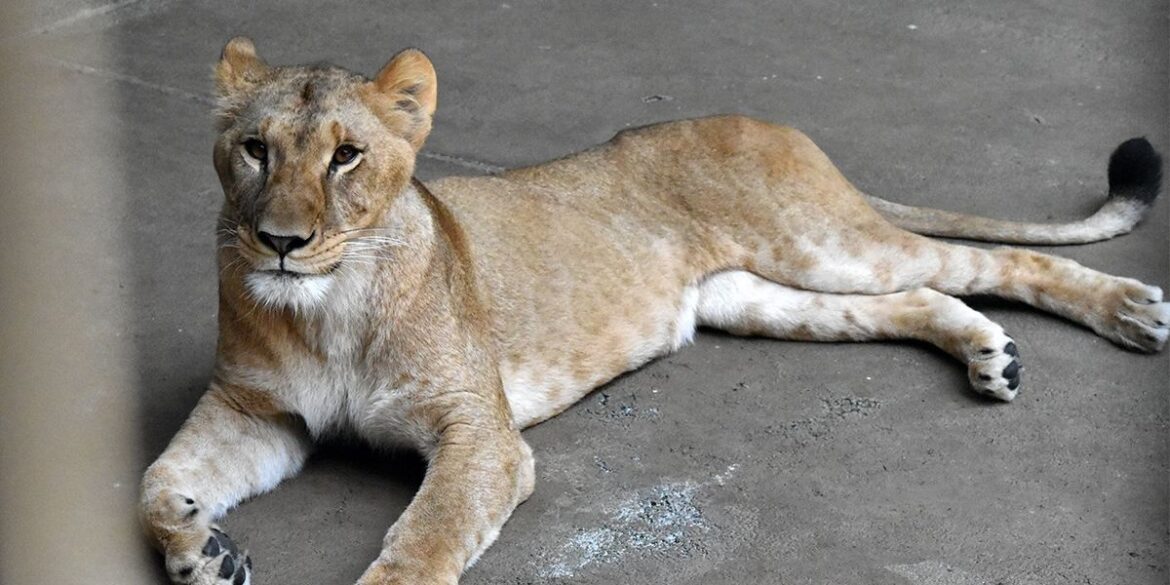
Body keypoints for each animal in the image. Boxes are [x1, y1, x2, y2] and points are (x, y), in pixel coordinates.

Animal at [140, 37, 1167, 585]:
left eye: (346, 155)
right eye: (256, 149)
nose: (279, 241)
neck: (327, 307)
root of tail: (772, 122)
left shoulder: (480, 432)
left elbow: (425, 536)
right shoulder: (257, 412)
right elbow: (156, 483)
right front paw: (202, 550)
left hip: (826, 242)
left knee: (993, 259)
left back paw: (1131, 312)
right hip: (757, 294)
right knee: (921, 295)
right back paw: (993, 354)